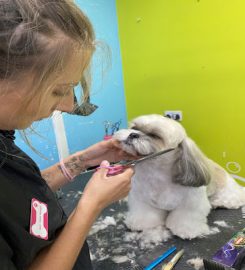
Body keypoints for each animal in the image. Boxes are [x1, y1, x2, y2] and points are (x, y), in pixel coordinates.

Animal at [114, 115, 245, 239]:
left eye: (155, 135)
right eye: (134, 127)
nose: (133, 134)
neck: (157, 173)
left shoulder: (191, 203)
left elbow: (185, 217)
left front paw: (186, 230)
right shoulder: (142, 199)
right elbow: (144, 212)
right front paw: (141, 223)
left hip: (228, 192)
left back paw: (218, 202)